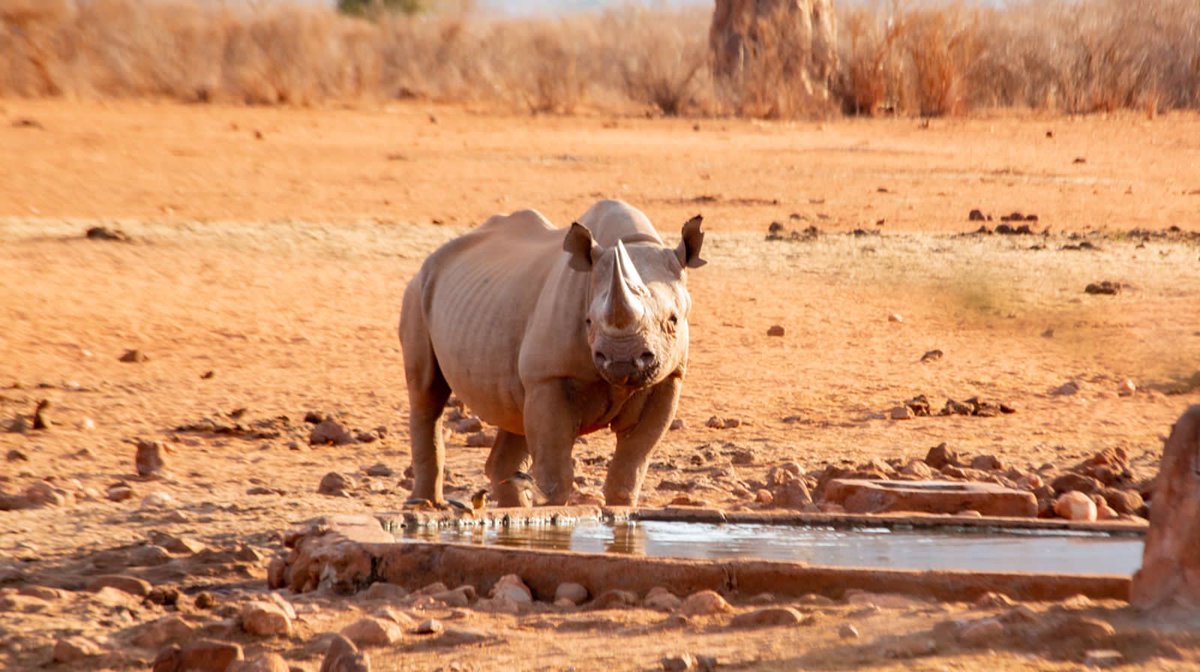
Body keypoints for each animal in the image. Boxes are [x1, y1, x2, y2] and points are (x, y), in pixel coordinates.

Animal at [399, 199, 706, 508]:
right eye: (588, 322)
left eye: (673, 320)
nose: (622, 361)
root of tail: (431, 259)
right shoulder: (548, 377)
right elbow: (554, 474)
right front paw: (552, 511)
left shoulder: (669, 378)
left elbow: (630, 466)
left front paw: (621, 508)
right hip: (418, 289)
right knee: (427, 394)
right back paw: (424, 503)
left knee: (514, 413)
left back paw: (512, 509)